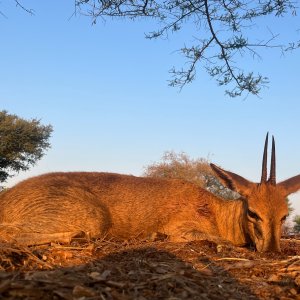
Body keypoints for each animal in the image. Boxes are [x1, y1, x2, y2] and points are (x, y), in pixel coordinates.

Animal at [0, 134, 298, 251]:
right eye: (253, 212)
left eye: (284, 215)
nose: (272, 250)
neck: (216, 212)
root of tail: (7, 198)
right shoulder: (183, 228)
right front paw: (157, 236)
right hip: (93, 218)